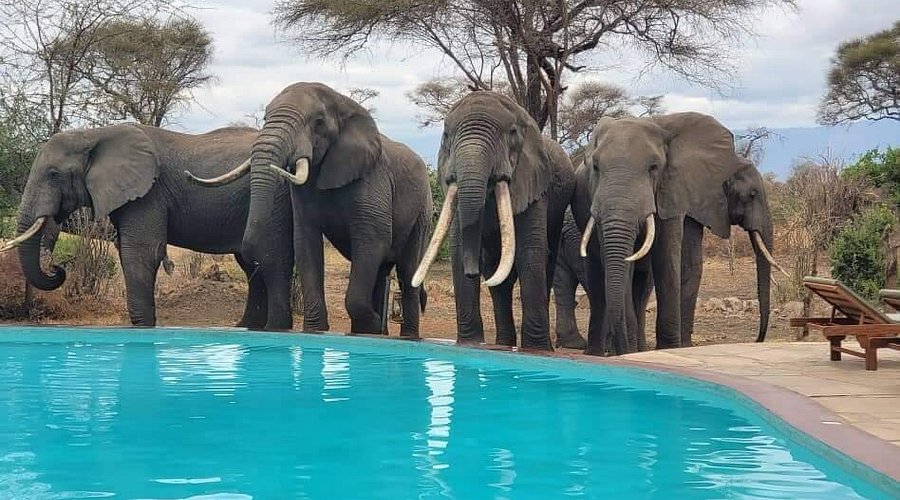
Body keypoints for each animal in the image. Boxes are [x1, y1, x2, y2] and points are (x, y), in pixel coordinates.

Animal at [1, 124, 294, 328]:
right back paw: (247, 327)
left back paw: (273, 328)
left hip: (276, 199)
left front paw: (143, 327)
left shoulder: (149, 193)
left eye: (53, 174)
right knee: (251, 262)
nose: (57, 268)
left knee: (270, 257)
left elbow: (140, 253)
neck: (94, 134)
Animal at [188, 82, 432, 337]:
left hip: (423, 212)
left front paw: (371, 325)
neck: (343, 103)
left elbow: (373, 240)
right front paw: (316, 331)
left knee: (408, 272)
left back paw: (405, 337)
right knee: (382, 271)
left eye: (318, 122)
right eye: (265, 118)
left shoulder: (372, 178)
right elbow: (306, 244)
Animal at [413, 91, 575, 350]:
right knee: (499, 279)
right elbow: (460, 249)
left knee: (545, 263)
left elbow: (530, 251)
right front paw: (469, 344)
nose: (472, 272)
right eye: (446, 136)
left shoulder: (535, 185)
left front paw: (536, 350)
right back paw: (503, 344)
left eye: (512, 133)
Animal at [573, 113, 748, 355]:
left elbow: (667, 259)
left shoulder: (672, 191)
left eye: (654, 167)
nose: (622, 349)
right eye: (596, 167)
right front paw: (632, 351)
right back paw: (601, 352)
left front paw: (669, 348)